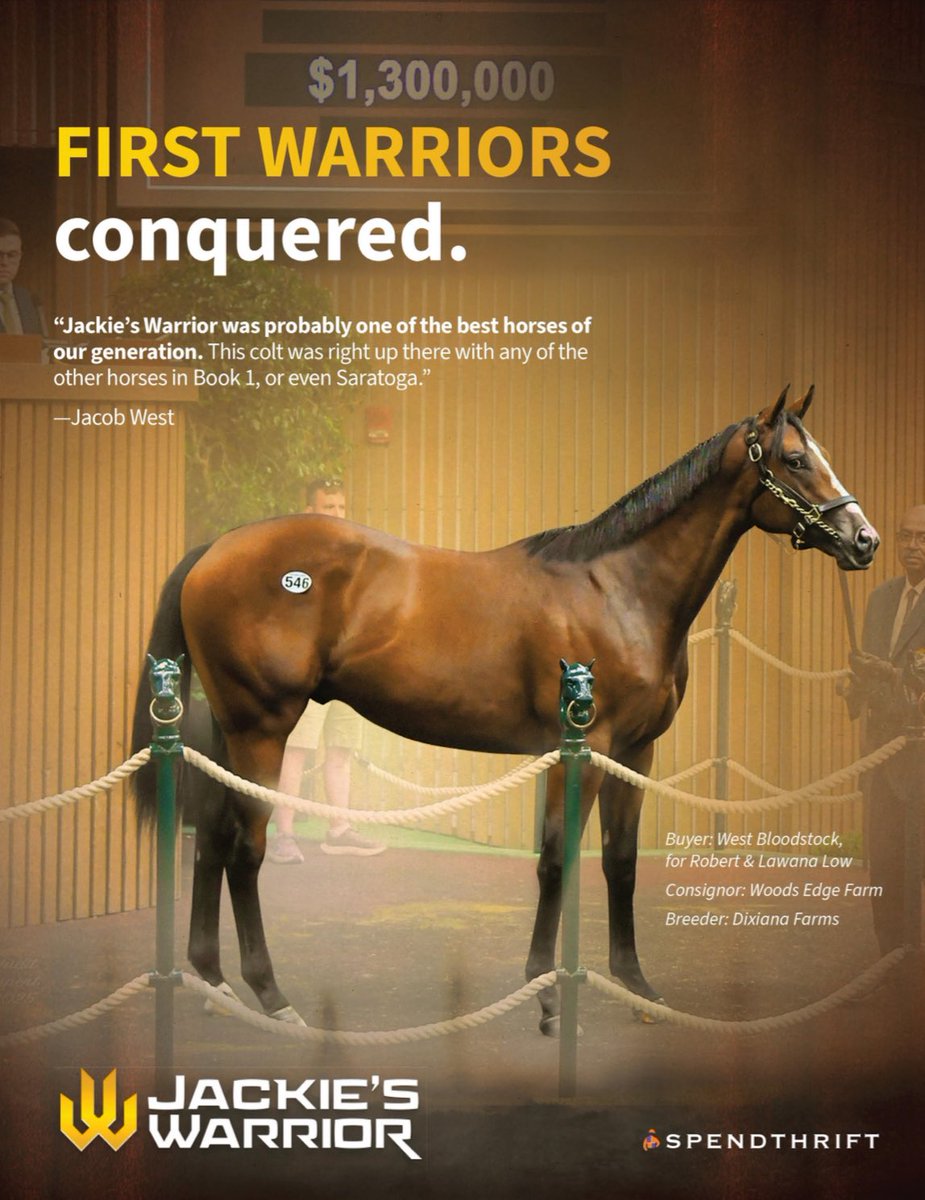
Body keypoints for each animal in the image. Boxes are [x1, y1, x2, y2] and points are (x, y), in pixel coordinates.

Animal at [132, 386, 878, 1035]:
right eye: (793, 459)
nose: (862, 539)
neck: (618, 589)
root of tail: (216, 548)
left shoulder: (635, 753)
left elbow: (621, 861)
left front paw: (636, 987)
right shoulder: (577, 752)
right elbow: (556, 860)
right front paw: (545, 996)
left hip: (228, 733)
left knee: (212, 839)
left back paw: (213, 983)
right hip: (262, 729)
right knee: (245, 850)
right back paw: (271, 996)